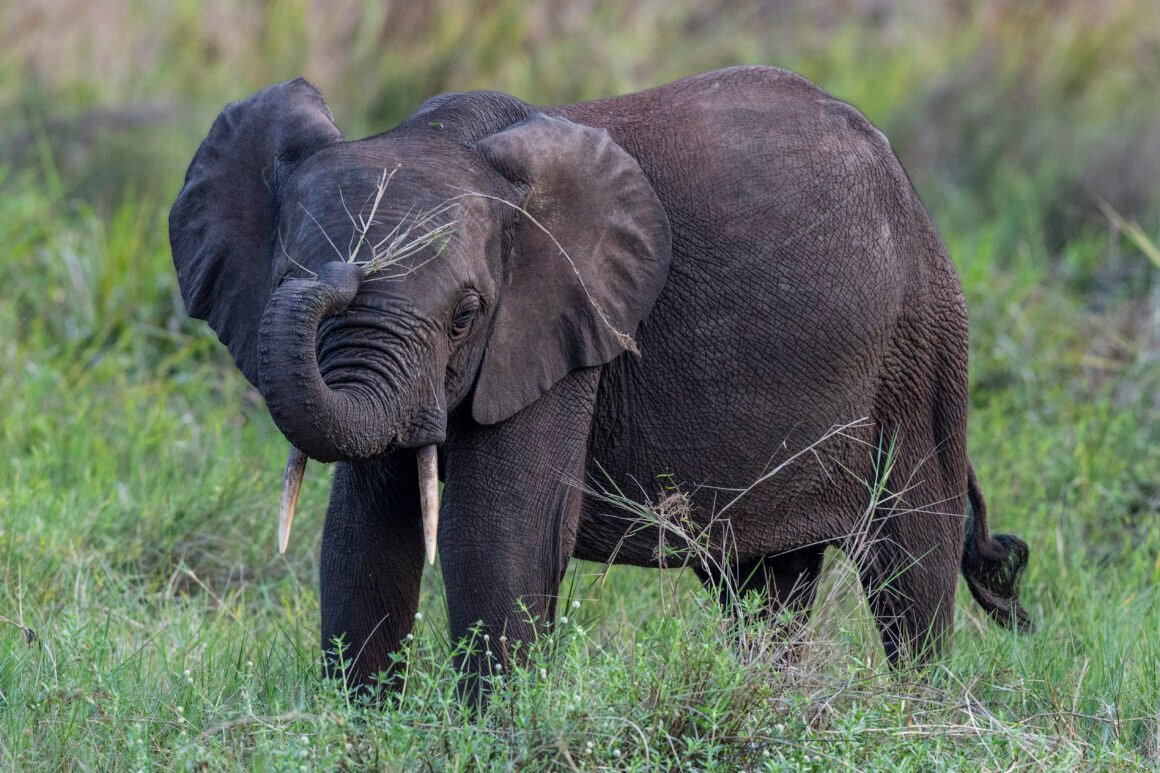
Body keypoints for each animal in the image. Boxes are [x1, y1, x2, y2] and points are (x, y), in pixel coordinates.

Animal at [170, 65, 1031, 692]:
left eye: (466, 314)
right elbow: (364, 539)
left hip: (921, 351)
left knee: (908, 569)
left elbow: (499, 536)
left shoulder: (564, 328)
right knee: (764, 584)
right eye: (284, 274)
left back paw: (912, 710)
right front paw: (363, 726)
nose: (341, 275)